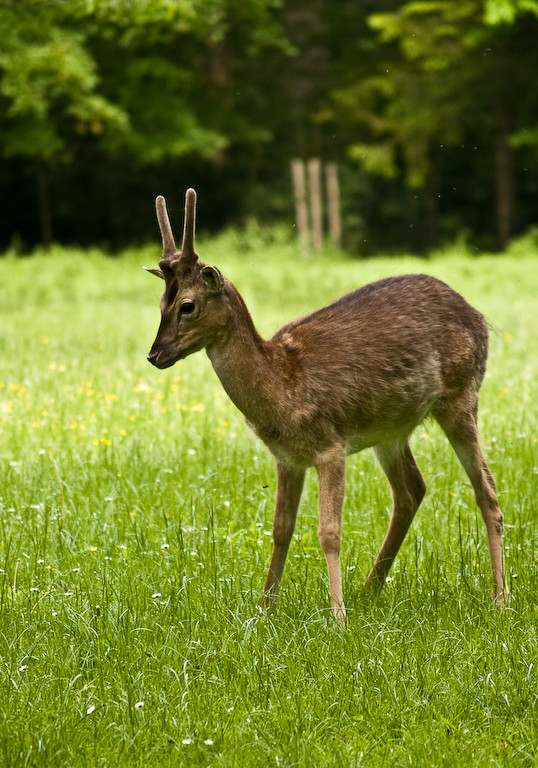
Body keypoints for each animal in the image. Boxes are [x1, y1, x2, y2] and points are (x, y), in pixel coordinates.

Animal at [144, 188, 504, 624]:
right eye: (160, 304)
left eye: (188, 305)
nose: (155, 354)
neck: (282, 389)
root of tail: (479, 317)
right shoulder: (286, 457)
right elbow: (281, 528)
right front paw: (265, 609)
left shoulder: (330, 446)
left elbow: (329, 531)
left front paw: (337, 617)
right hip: (393, 430)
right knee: (412, 490)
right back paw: (369, 591)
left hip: (462, 395)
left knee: (486, 489)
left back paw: (500, 597)